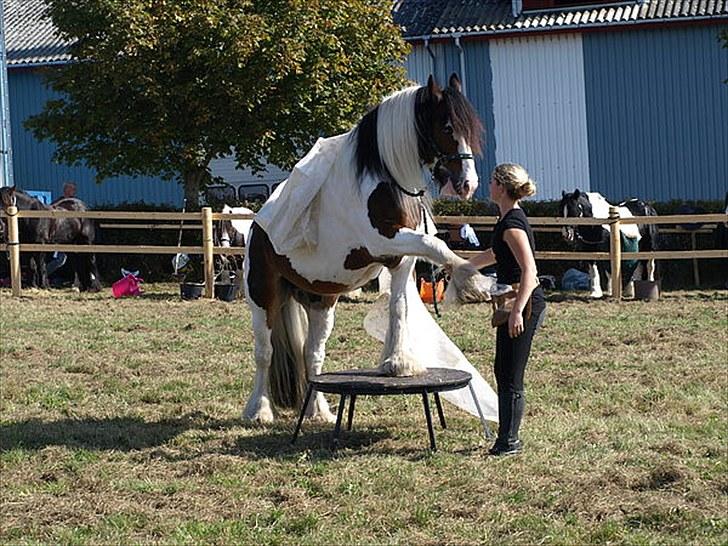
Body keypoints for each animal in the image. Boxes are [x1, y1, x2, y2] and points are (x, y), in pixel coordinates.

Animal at [242, 74, 486, 420]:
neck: (384, 178)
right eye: (447, 126)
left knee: (312, 354)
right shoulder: (381, 241)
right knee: (264, 352)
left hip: (321, 301)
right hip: (263, 297)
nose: (468, 185)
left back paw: (319, 411)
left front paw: (398, 362)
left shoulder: (401, 258)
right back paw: (259, 410)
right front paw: (471, 280)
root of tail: (257, 226)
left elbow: (400, 305)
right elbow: (436, 243)